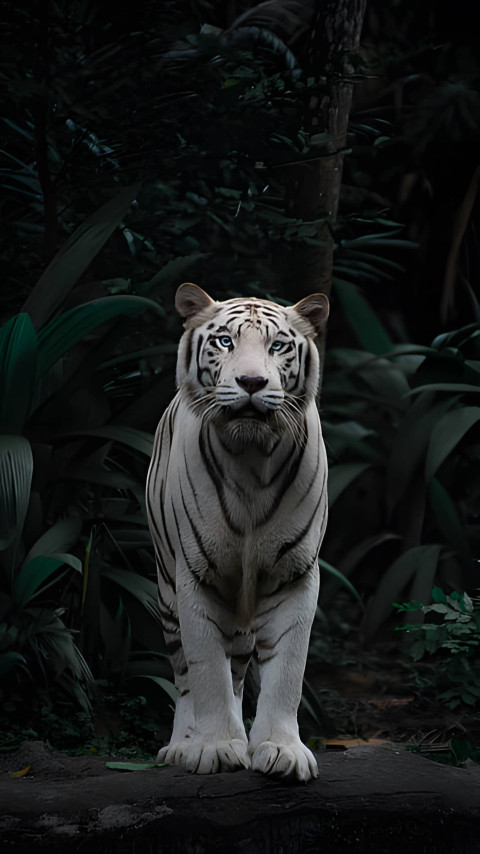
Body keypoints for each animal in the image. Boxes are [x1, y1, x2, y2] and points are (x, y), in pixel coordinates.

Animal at [146, 283, 329, 781]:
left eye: (278, 346)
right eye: (225, 341)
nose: (251, 383)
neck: (251, 457)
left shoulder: (295, 574)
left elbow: (288, 670)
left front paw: (281, 750)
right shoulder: (196, 575)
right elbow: (206, 669)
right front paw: (214, 747)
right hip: (166, 590)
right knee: (185, 675)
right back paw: (181, 745)